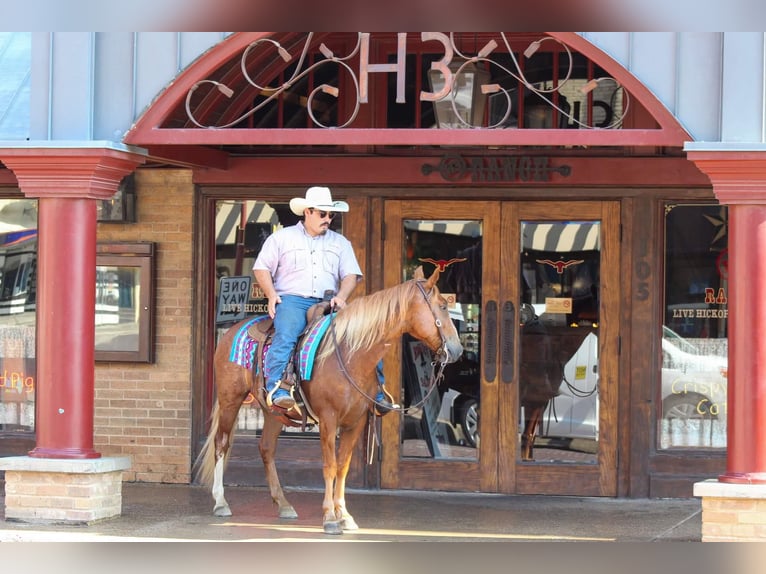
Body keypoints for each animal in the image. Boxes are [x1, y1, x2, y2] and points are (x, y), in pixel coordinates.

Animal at [195, 266, 464, 536]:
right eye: (442, 305)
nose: (458, 350)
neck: (350, 354)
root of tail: (232, 329)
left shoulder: (356, 422)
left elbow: (343, 467)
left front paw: (344, 515)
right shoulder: (328, 418)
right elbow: (330, 465)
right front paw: (330, 517)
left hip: (273, 412)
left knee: (267, 448)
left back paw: (283, 504)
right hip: (230, 399)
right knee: (221, 443)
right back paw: (221, 502)